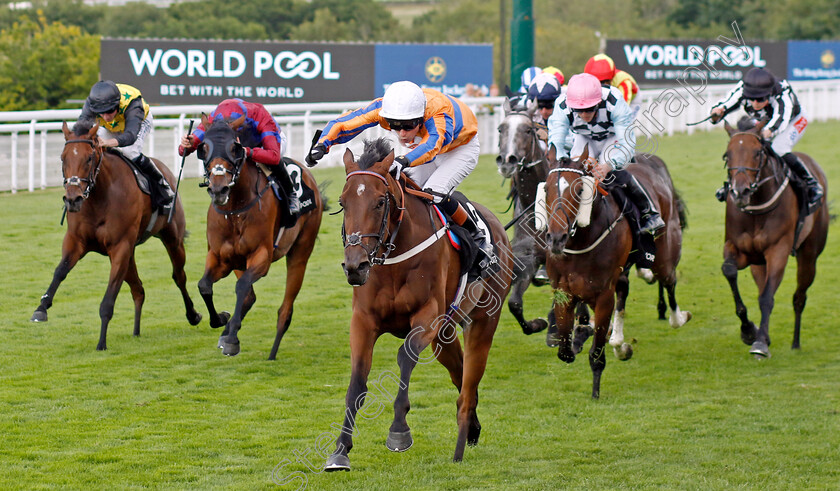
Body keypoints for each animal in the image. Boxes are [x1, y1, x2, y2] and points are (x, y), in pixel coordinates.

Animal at [30, 123, 203, 354]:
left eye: (89, 158)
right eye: (62, 157)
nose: (73, 199)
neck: (99, 198)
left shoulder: (120, 247)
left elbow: (109, 297)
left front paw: (101, 342)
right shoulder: (76, 241)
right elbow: (60, 271)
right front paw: (41, 308)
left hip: (172, 238)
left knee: (179, 276)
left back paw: (196, 315)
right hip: (131, 253)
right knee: (138, 289)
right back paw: (136, 331)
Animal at [197, 115, 324, 362]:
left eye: (234, 148)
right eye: (203, 147)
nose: (218, 189)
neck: (235, 210)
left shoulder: (262, 257)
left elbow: (241, 286)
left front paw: (232, 339)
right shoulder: (219, 256)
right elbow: (204, 286)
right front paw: (221, 321)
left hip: (301, 251)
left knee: (285, 309)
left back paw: (272, 351)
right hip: (238, 261)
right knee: (249, 296)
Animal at [324, 139, 516, 472]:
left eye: (379, 202)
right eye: (343, 202)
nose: (355, 266)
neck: (394, 258)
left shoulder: (427, 317)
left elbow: (405, 357)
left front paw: (399, 432)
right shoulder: (363, 321)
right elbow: (357, 381)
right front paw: (340, 450)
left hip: (482, 320)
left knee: (469, 379)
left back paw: (462, 439)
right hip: (444, 335)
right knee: (460, 373)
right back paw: (473, 428)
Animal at [540, 146, 692, 400]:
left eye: (580, 189)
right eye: (546, 188)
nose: (556, 239)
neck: (581, 242)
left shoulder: (603, 295)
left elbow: (596, 350)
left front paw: (595, 391)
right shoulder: (563, 291)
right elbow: (565, 350)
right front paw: (591, 338)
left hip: (664, 252)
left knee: (668, 281)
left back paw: (677, 317)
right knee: (625, 290)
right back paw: (619, 342)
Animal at [720, 119, 832, 358]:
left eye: (757, 152)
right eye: (727, 155)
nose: (740, 192)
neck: (756, 209)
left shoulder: (778, 250)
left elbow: (767, 298)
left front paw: (760, 344)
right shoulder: (740, 250)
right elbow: (730, 271)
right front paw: (748, 330)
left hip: (809, 255)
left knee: (799, 297)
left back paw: (795, 342)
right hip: (758, 263)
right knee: (763, 286)